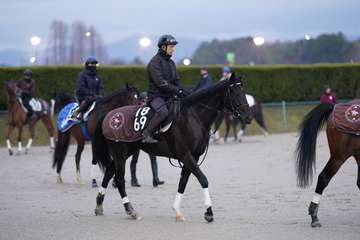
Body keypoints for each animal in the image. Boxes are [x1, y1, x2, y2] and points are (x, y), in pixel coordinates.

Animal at [91, 73, 252, 221]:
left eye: (243, 91)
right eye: (235, 93)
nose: (248, 117)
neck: (194, 116)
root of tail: (109, 115)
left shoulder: (193, 157)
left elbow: (183, 182)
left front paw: (177, 210)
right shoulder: (185, 155)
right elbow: (203, 179)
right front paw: (209, 212)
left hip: (127, 151)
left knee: (109, 171)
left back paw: (99, 204)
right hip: (120, 152)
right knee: (119, 179)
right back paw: (131, 210)